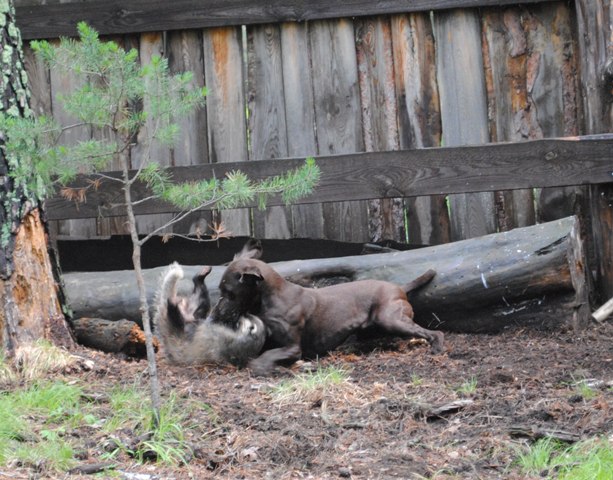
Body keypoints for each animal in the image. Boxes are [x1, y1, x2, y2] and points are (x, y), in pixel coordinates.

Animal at [206, 241, 444, 376]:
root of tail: (400, 288)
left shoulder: (293, 347)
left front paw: (262, 367)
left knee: (434, 332)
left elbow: (265, 357)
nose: (214, 314)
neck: (270, 298)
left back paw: (437, 347)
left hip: (390, 319)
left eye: (229, 293)